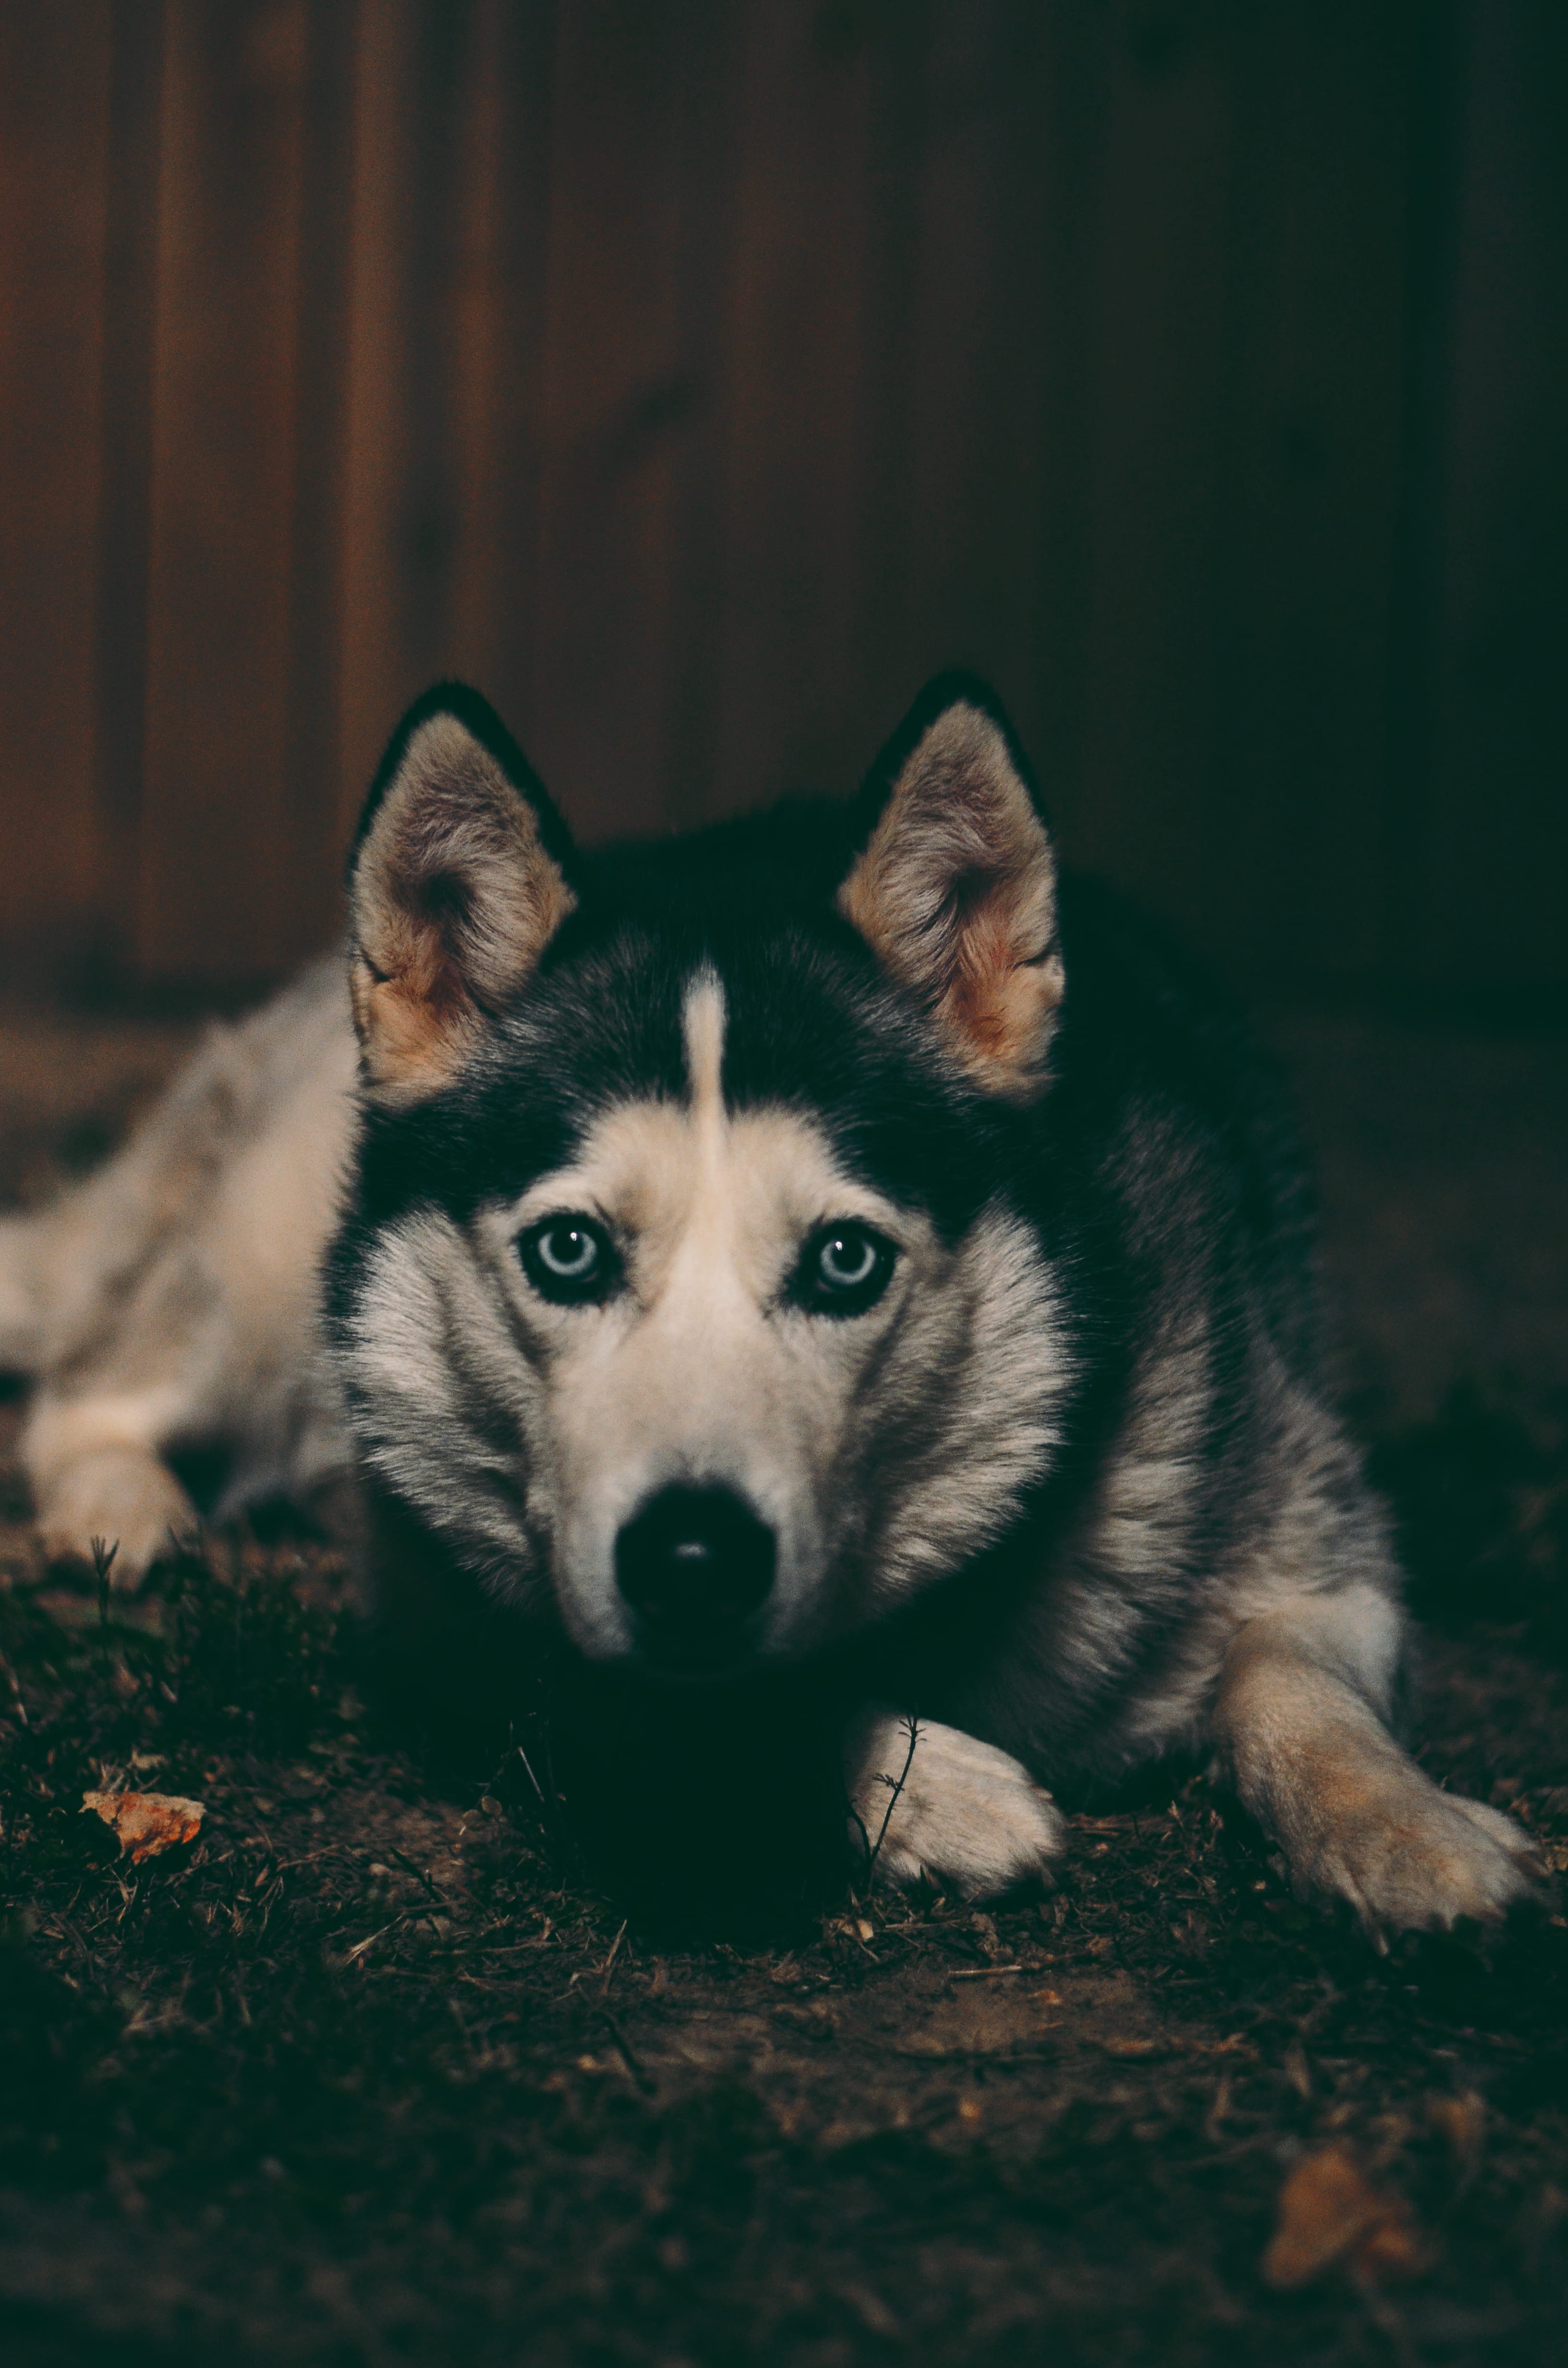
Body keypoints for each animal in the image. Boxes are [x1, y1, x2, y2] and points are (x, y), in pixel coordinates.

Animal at [0, 673, 1545, 1938]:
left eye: (846, 1263)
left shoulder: (1313, 1528)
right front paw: (928, 1786)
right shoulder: (441, 1612)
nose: (692, 1560)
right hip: (264, 1280)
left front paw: (1407, 1833)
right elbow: (666, 1698)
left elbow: (1300, 1693)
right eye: (568, 1252)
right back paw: (124, 1514)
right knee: (88, 1392)